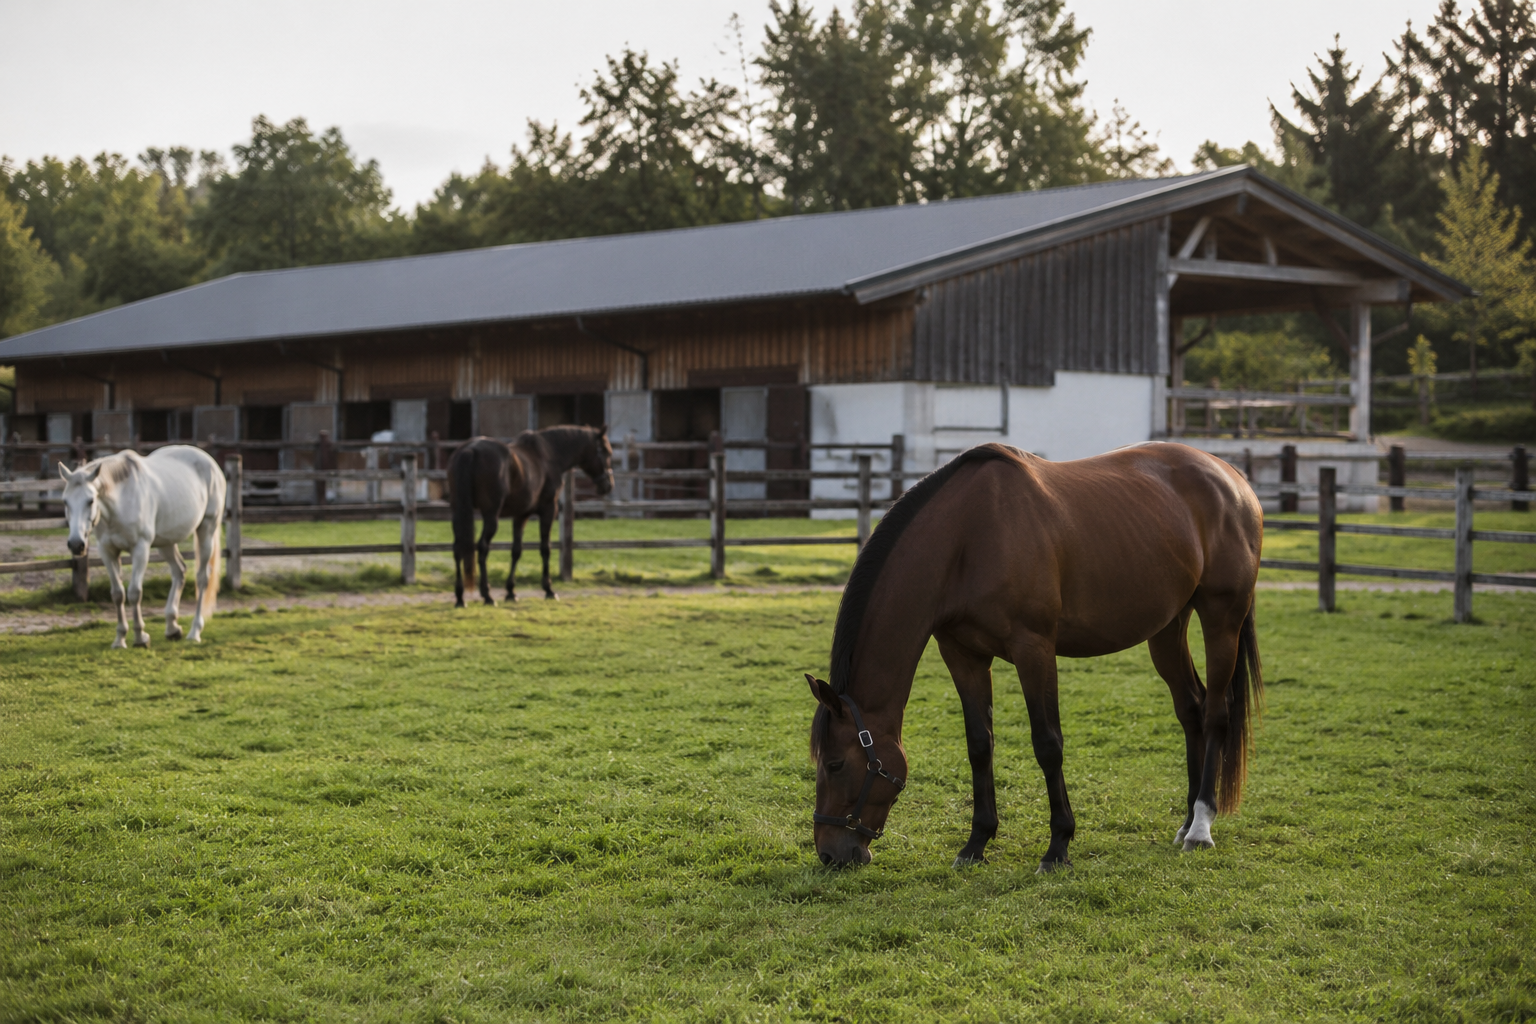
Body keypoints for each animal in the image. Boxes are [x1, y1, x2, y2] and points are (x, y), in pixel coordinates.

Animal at [59, 446, 227, 649]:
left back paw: (194, 632)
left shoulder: (141, 549)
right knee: (179, 571)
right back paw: (172, 628)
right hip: (166, 542)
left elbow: (134, 592)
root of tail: (210, 463)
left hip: (206, 530)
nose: (76, 544)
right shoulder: (107, 551)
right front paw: (120, 639)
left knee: (202, 578)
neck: (121, 500)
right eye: (65, 501)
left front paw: (140, 638)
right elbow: (117, 594)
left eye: (91, 500)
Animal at [449, 425, 614, 606]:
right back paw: (487, 595)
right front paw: (548, 589)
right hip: (491, 516)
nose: (608, 485)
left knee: (457, 548)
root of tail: (470, 450)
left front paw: (511, 591)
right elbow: (545, 548)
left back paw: (460, 597)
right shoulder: (549, 510)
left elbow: (516, 550)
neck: (549, 456)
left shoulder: (521, 515)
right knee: (482, 547)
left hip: (458, 512)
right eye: (606, 452)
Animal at [806, 441, 1263, 871]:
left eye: (835, 764)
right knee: (1191, 708)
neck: (967, 538)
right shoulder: (962, 654)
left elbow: (1047, 743)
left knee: (1216, 713)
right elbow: (979, 744)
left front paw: (1058, 846)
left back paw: (1201, 826)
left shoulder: (1035, 649)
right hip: (1167, 628)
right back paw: (1185, 821)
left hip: (1222, 618)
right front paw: (976, 843)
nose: (830, 854)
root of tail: (1230, 477)